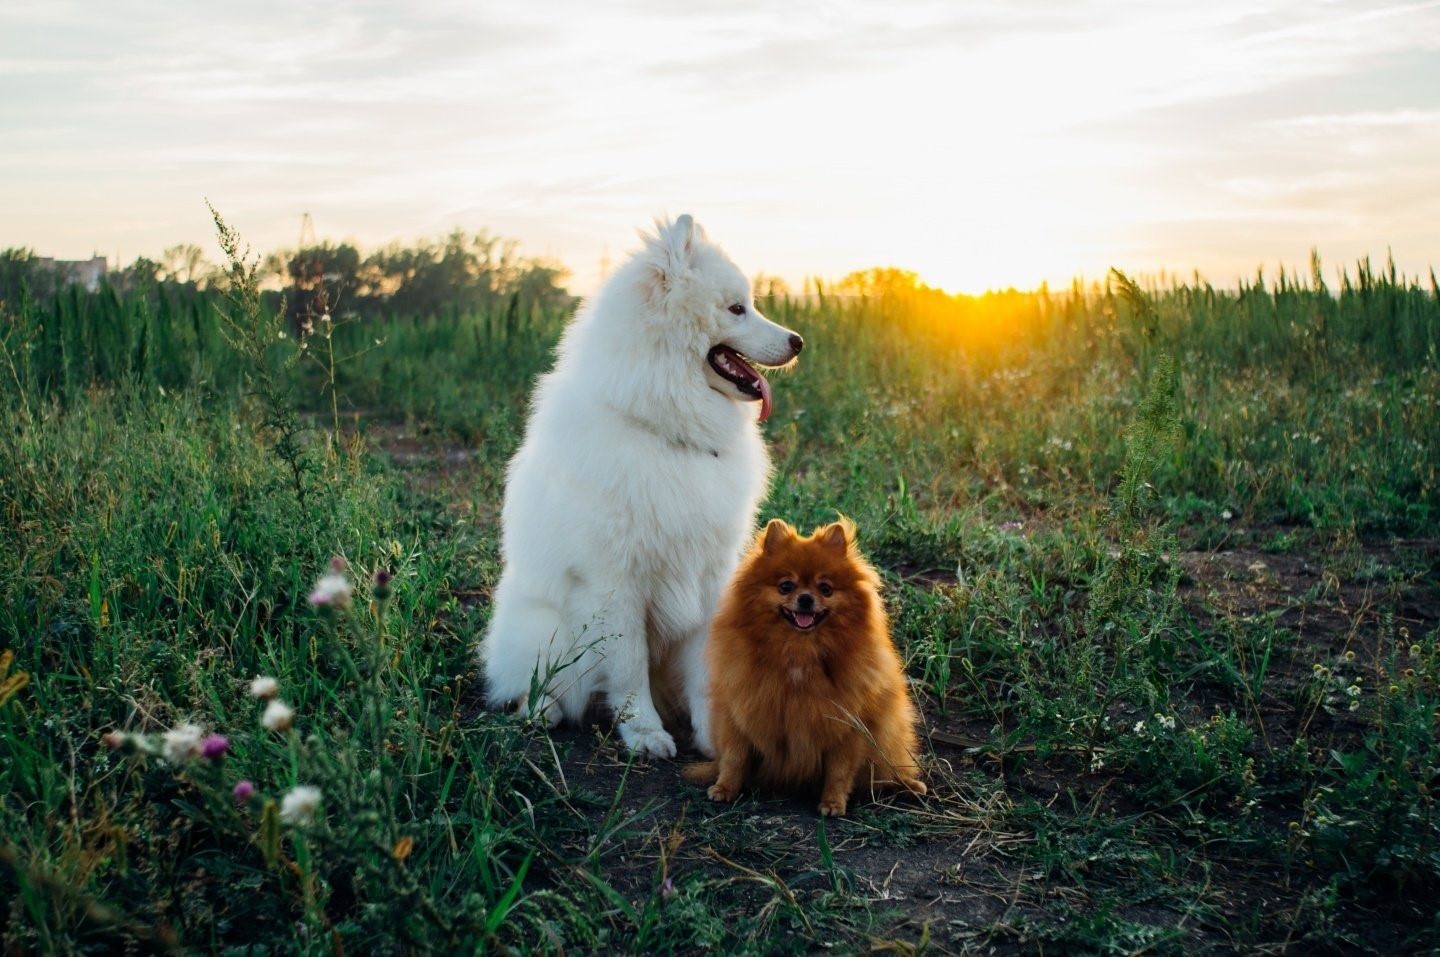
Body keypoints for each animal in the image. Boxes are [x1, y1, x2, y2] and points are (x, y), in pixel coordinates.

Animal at [480, 214, 800, 754]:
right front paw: (645, 732)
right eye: (736, 308)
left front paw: (715, 737)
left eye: (749, 304)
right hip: (544, 626)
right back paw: (542, 710)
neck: (666, 429)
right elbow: (628, 666)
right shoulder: (615, 581)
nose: (798, 340)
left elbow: (706, 668)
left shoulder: (710, 575)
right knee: (530, 681)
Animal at [682, 515, 921, 811]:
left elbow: (840, 770)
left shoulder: (849, 727)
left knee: (885, 772)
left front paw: (833, 802)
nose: (806, 598)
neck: (799, 651)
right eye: (786, 586)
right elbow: (734, 758)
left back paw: (907, 785)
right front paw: (725, 788)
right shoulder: (740, 712)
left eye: (825, 588)